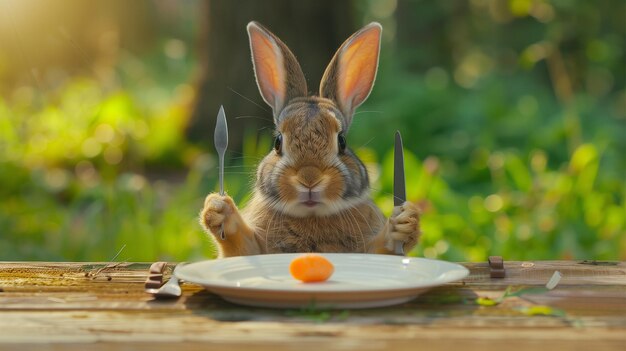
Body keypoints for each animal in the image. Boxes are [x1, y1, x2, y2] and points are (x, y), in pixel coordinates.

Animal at [200, 22, 420, 258]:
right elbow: (239, 249)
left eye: (342, 141)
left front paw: (406, 223)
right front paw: (218, 209)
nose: (309, 178)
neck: (312, 215)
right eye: (278, 142)